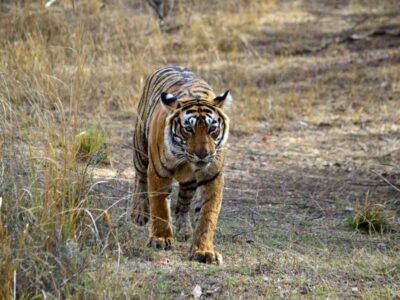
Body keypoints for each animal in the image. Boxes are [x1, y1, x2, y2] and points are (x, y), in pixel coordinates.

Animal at [131, 66, 231, 264]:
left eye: (212, 129)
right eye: (188, 129)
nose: (203, 154)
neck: (186, 160)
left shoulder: (212, 176)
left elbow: (207, 215)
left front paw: (204, 250)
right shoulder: (158, 172)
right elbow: (160, 207)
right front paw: (161, 239)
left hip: (188, 183)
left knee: (184, 203)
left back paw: (184, 229)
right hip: (141, 150)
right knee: (140, 178)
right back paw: (139, 213)